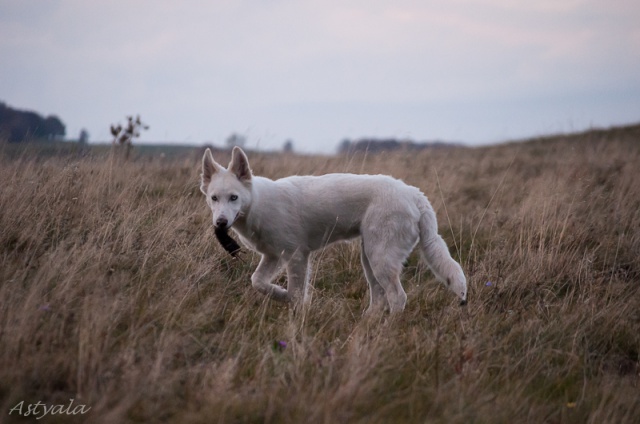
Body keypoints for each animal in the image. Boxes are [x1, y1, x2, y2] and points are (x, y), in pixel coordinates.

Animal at [200, 147, 464, 314]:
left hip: (380, 259)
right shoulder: (273, 256)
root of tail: (414, 194)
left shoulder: (296, 256)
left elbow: (296, 292)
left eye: (234, 197)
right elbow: (257, 282)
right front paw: (279, 293)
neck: (256, 202)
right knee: (379, 299)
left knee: (397, 297)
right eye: (214, 198)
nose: (220, 223)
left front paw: (295, 309)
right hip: (369, 259)